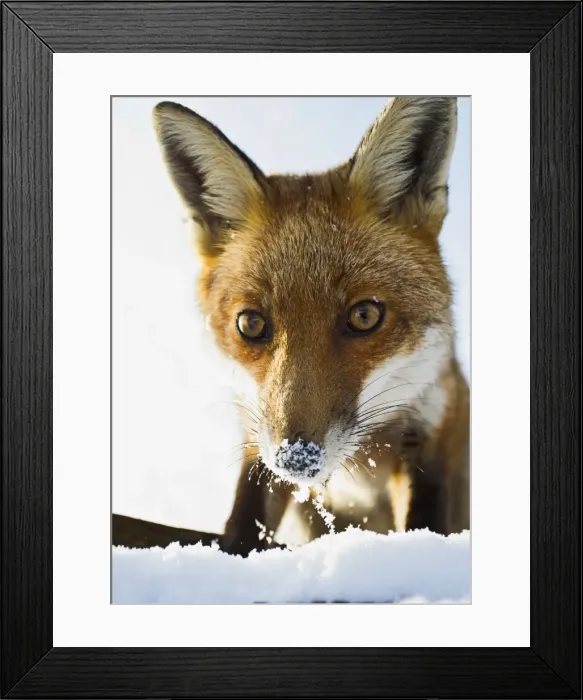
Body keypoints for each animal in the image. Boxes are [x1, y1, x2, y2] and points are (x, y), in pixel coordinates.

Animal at [153, 97, 470, 556]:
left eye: (364, 316)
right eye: (250, 323)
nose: (297, 458)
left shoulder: (431, 427)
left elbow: (424, 526)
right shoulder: (258, 439)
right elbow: (244, 524)